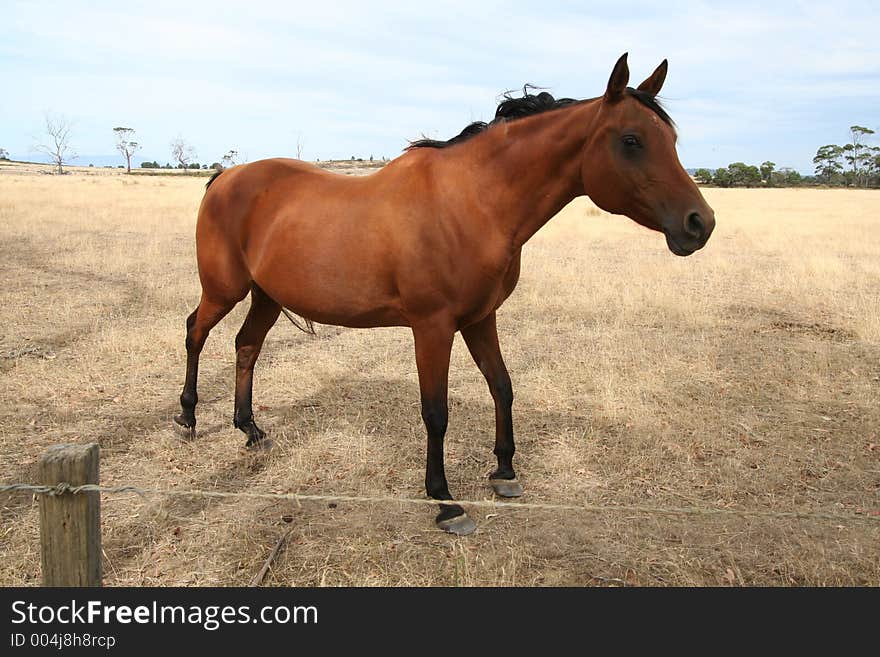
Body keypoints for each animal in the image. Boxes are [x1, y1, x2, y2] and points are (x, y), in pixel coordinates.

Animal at [174, 55, 716, 532]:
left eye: (670, 138)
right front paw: (445, 501)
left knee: (246, 346)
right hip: (224, 290)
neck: (471, 203)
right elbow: (436, 412)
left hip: (266, 295)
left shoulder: (480, 319)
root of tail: (225, 177)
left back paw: (250, 429)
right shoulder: (432, 327)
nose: (700, 223)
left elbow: (502, 386)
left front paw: (505, 472)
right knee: (195, 333)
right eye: (631, 140)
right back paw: (187, 417)